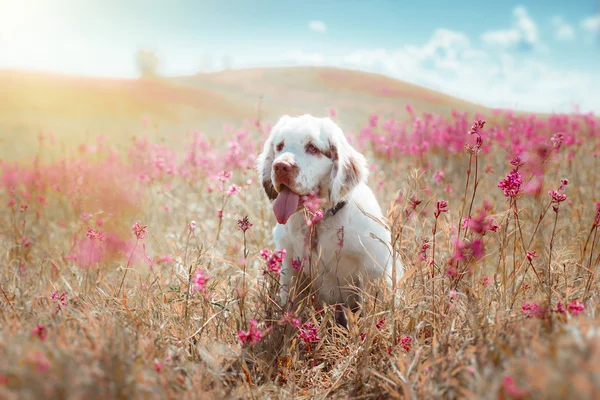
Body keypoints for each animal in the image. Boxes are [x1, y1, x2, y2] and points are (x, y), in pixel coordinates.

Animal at [255, 114, 400, 324]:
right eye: (280, 145)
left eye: (312, 148)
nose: (280, 166)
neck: (319, 222)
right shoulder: (290, 266)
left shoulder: (372, 269)